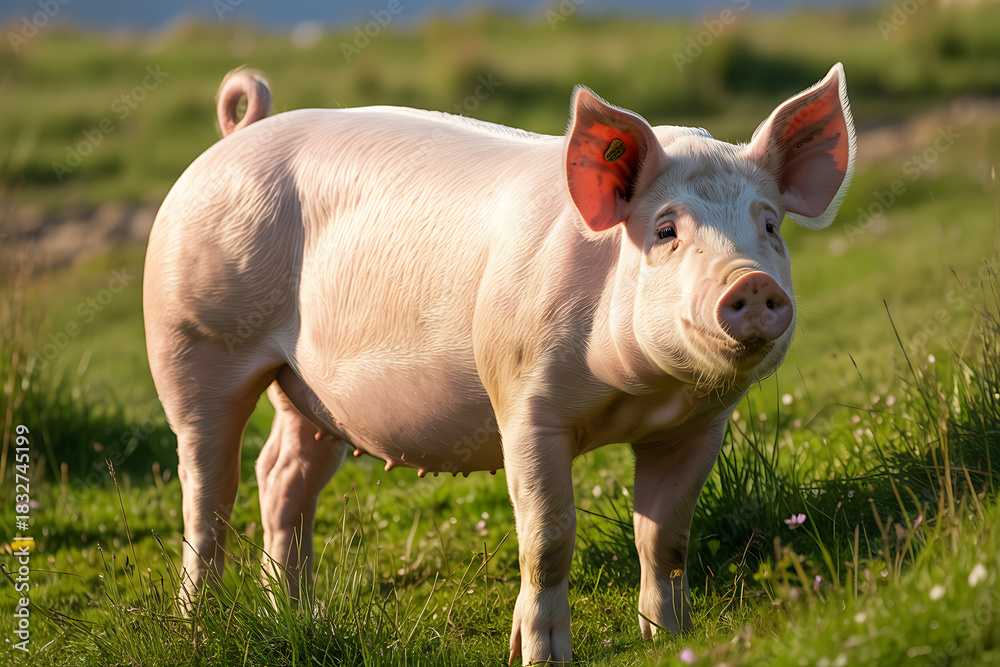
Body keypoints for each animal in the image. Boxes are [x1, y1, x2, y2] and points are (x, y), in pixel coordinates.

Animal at [144, 63, 855, 664]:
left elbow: (667, 538)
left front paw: (667, 639)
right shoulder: (524, 404)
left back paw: (297, 614)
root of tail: (240, 134)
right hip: (193, 339)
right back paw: (199, 623)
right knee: (208, 484)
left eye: (770, 226)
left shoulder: (698, 426)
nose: (752, 282)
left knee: (281, 476)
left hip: (307, 393)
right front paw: (539, 658)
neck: (638, 394)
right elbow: (548, 539)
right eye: (665, 231)